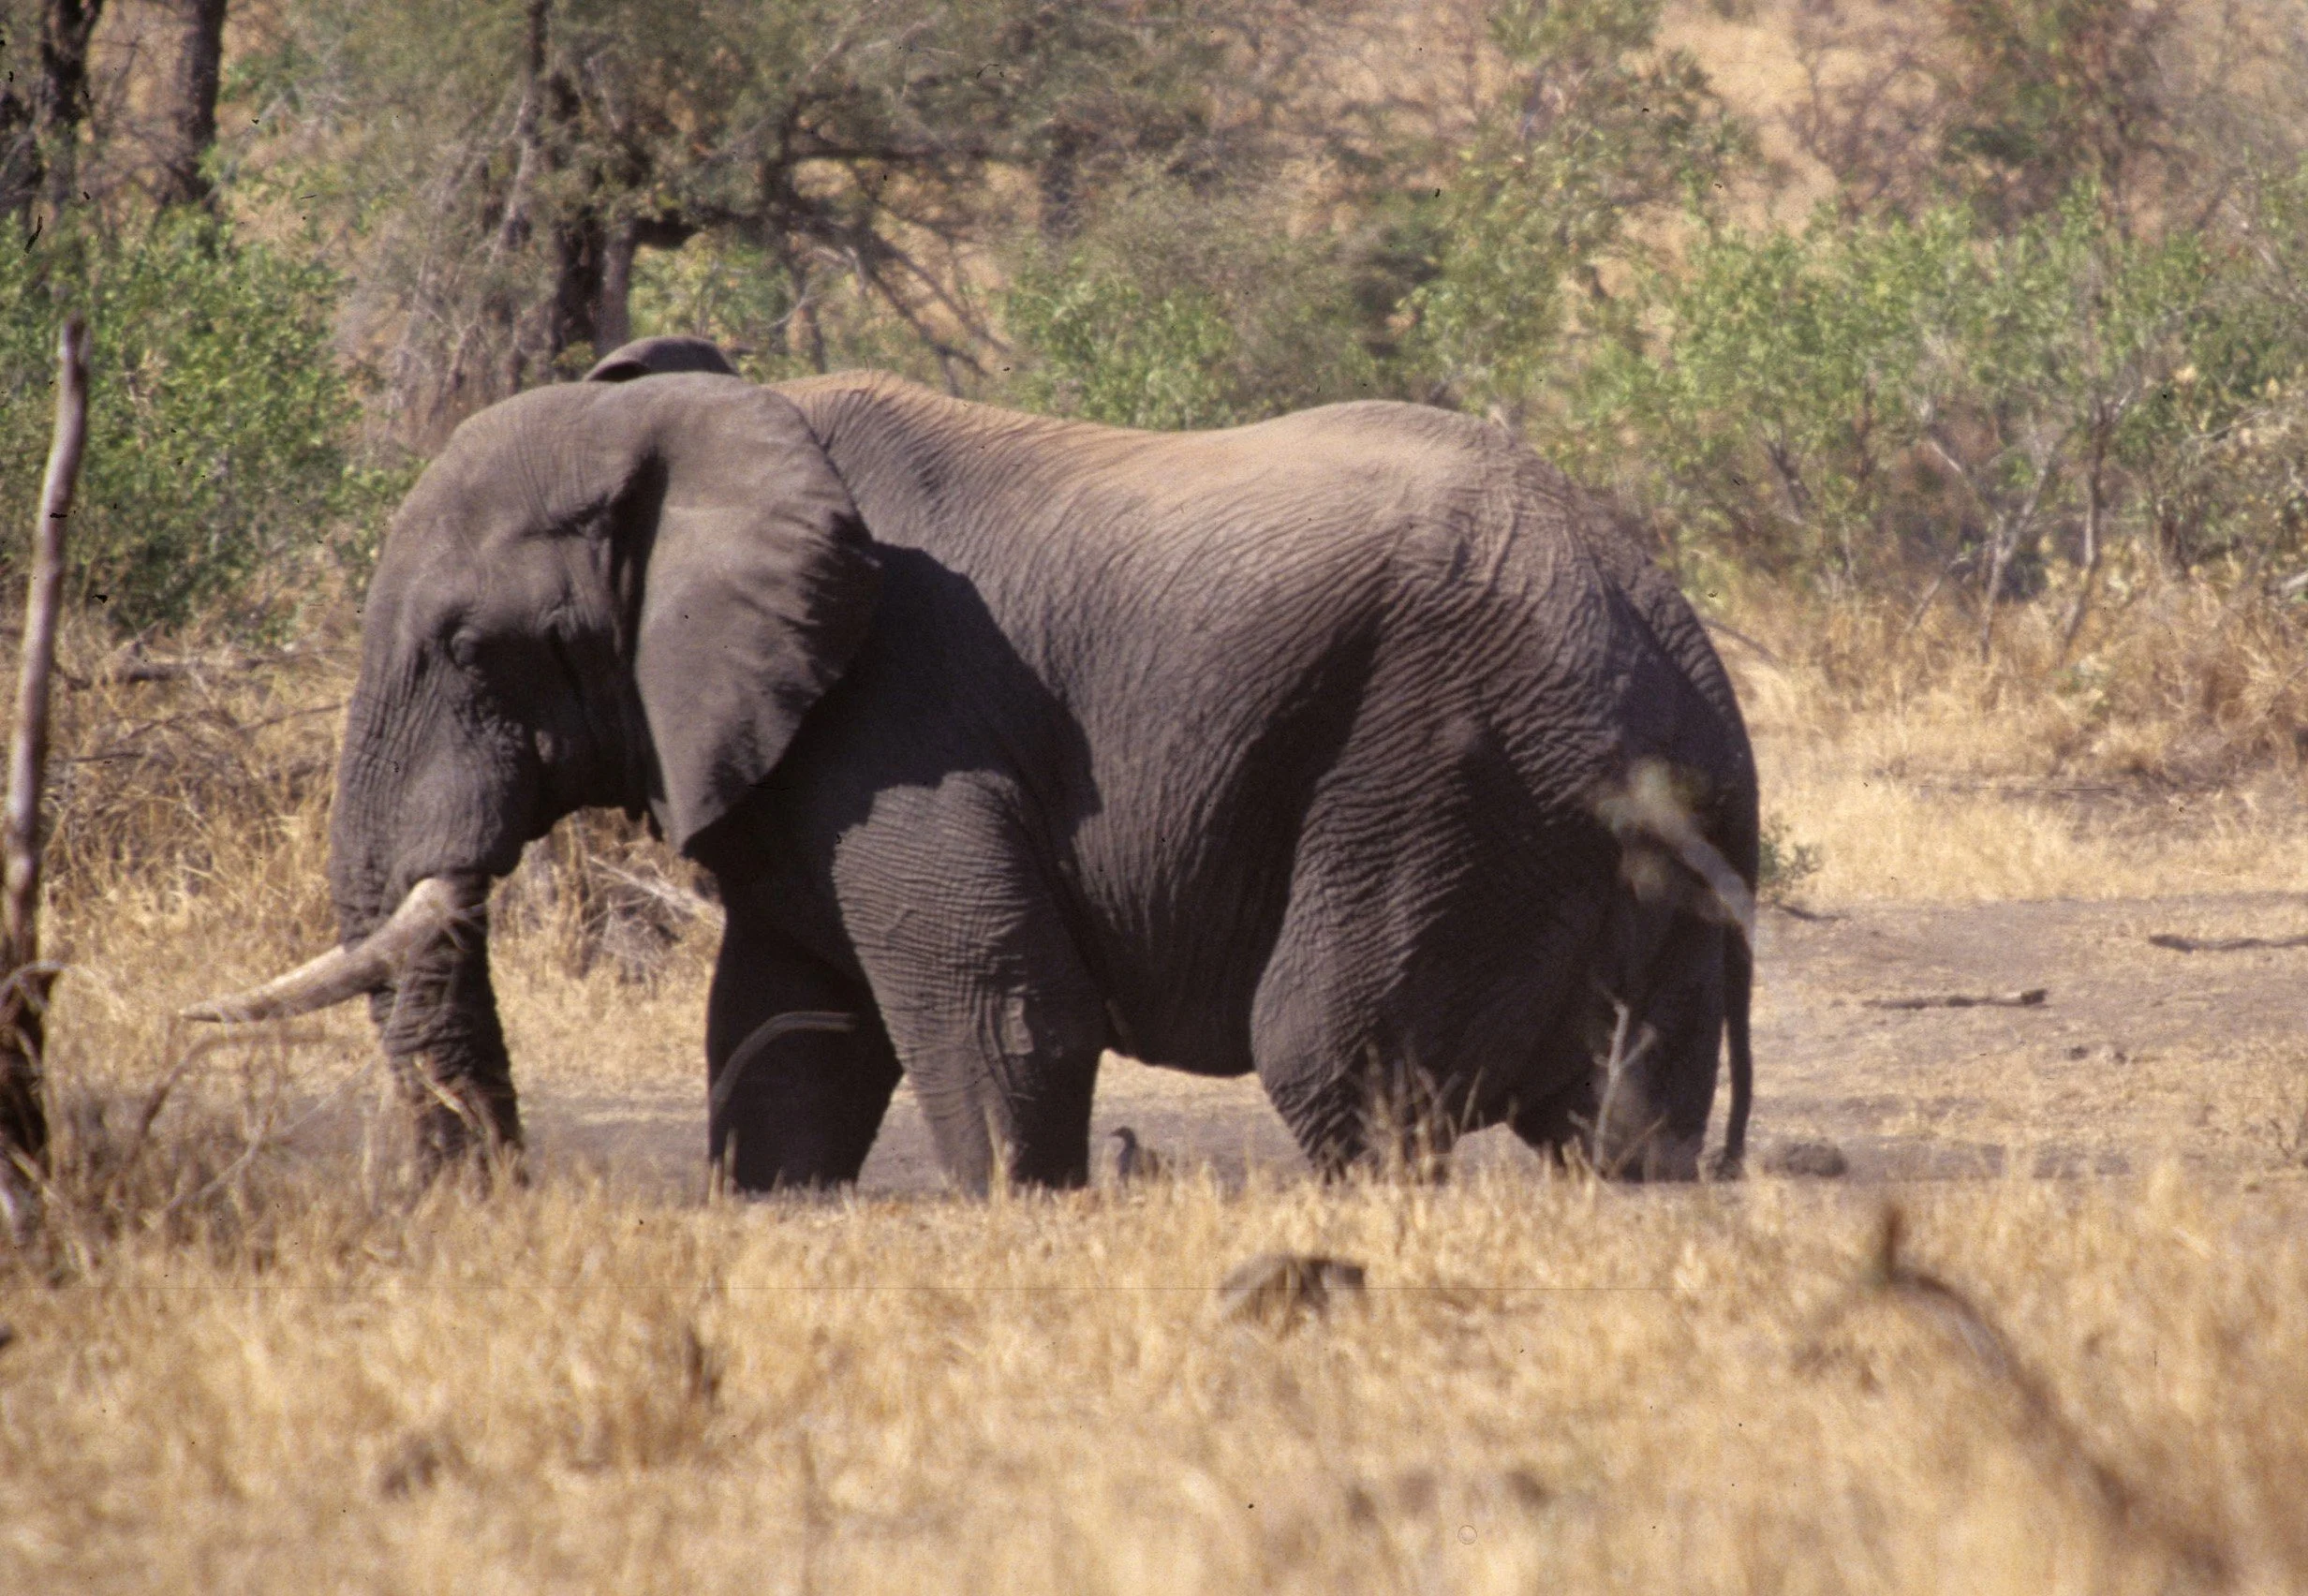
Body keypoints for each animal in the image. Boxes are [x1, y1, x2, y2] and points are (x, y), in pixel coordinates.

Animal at [190, 336, 1758, 1192]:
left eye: (466, 648)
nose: (499, 1204)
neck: (709, 427)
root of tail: (1680, 647)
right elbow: (784, 1032)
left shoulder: (908, 717)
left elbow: (1003, 1007)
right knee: (1622, 1120)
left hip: (1455, 770)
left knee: (1328, 1051)